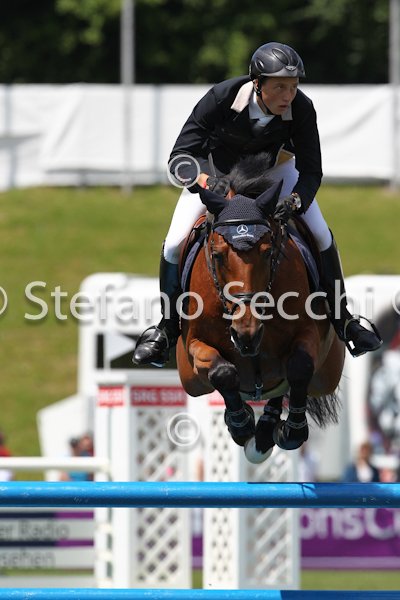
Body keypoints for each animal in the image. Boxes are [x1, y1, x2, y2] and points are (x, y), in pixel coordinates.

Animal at [176, 158, 345, 463]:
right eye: (217, 255)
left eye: (268, 252)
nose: (247, 334)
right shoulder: (195, 344)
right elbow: (223, 373)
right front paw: (240, 425)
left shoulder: (310, 335)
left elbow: (299, 366)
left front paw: (292, 431)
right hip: (191, 381)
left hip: (327, 376)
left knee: (287, 386)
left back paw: (267, 429)